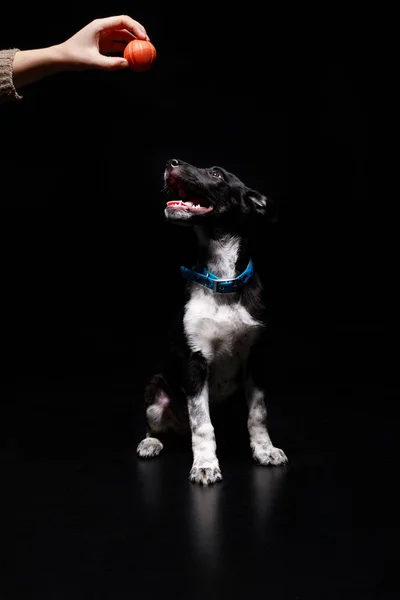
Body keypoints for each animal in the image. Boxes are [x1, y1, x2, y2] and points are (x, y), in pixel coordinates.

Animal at [138, 158, 288, 482]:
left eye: (217, 174)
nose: (171, 161)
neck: (222, 280)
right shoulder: (196, 362)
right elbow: (202, 423)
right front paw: (205, 464)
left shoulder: (255, 359)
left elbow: (259, 413)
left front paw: (265, 449)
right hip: (156, 393)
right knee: (160, 426)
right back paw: (151, 442)